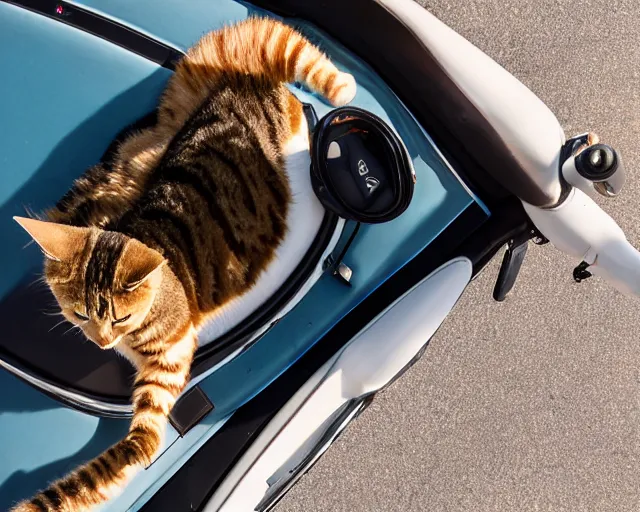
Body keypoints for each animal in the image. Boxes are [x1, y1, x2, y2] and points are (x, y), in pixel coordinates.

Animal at [12, 18, 358, 510]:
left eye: (121, 317)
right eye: (79, 314)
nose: (101, 343)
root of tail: (243, 85)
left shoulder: (165, 378)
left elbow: (122, 458)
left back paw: (341, 88)